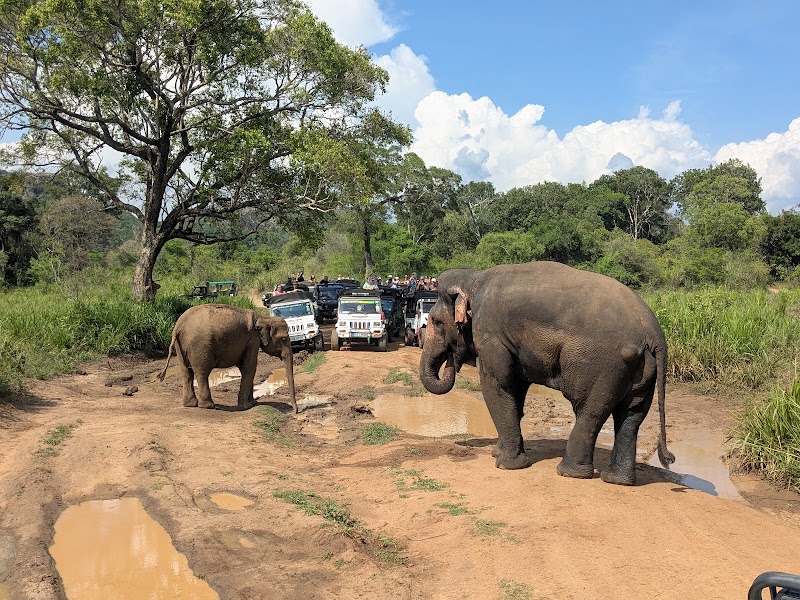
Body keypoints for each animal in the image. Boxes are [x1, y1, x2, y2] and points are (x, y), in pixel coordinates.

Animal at [158, 304, 297, 413]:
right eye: (283, 339)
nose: (296, 411)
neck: (264, 318)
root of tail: (178, 326)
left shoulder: (248, 341)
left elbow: (244, 367)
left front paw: (253, 404)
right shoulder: (253, 339)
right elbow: (250, 367)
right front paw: (246, 407)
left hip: (180, 346)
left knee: (186, 373)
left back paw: (190, 404)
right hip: (200, 346)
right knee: (202, 372)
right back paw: (208, 406)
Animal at [418, 261, 674, 485]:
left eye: (437, 322)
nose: (452, 359)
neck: (474, 278)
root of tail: (654, 334)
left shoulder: (491, 334)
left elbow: (498, 384)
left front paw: (506, 465)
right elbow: (516, 389)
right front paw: (497, 453)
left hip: (604, 365)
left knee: (590, 411)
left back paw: (569, 473)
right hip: (642, 371)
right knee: (632, 416)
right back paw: (617, 480)